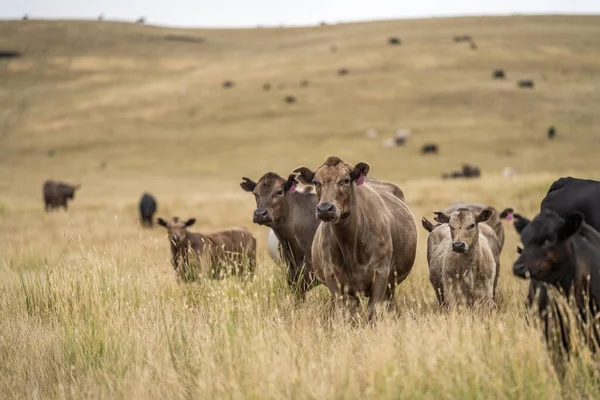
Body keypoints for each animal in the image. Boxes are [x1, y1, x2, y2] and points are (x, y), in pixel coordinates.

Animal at [294, 156, 418, 318]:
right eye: (316, 182)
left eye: (345, 180)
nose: (325, 209)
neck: (350, 245)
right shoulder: (334, 278)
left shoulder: (381, 274)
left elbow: (371, 312)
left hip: (390, 284)